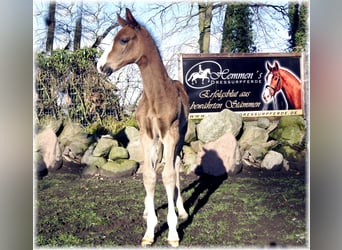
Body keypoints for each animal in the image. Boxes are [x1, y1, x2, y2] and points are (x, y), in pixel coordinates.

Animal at [97, 8, 190, 248]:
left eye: (123, 40)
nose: (100, 66)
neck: (157, 96)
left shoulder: (170, 134)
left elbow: (168, 175)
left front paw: (173, 232)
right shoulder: (146, 135)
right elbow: (149, 175)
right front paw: (149, 231)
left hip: (179, 138)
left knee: (176, 166)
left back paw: (182, 209)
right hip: (156, 142)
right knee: (155, 166)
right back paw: (148, 211)